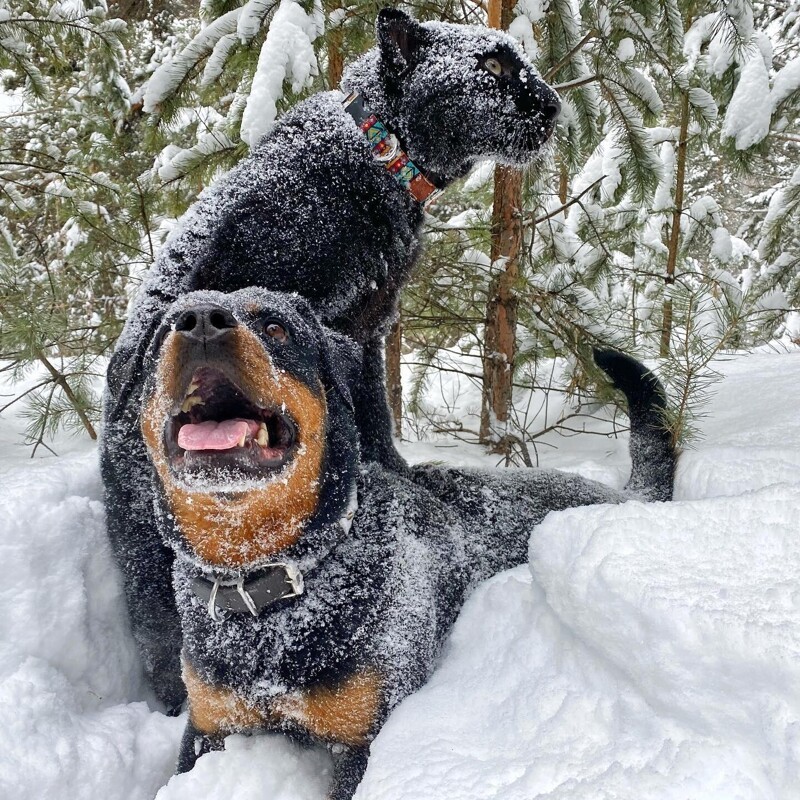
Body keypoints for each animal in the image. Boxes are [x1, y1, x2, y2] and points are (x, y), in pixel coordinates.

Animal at [139, 290, 676, 800]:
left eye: (275, 327)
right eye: (165, 332)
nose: (201, 322)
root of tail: (623, 496)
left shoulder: (365, 736)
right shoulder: (207, 726)